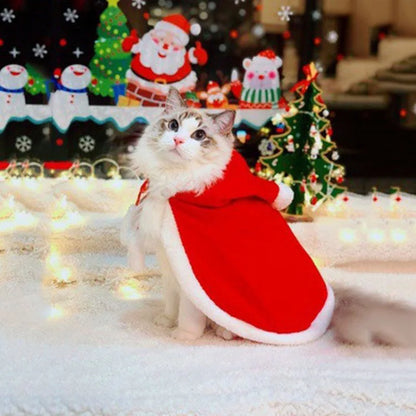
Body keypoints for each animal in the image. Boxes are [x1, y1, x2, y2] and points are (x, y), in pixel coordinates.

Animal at [122, 88, 416, 348]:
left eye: (199, 135)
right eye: (173, 125)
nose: (178, 141)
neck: (175, 185)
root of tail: (331, 308)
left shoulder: (190, 280)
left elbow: (187, 316)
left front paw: (183, 336)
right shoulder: (169, 267)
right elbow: (171, 305)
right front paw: (164, 322)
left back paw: (223, 332)